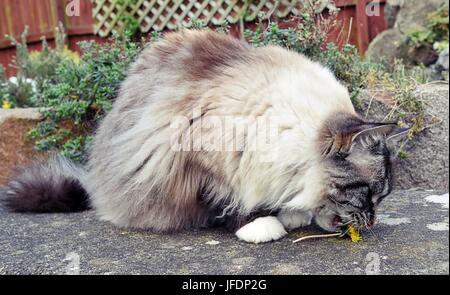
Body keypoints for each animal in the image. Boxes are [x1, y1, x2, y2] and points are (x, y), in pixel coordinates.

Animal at [0, 30, 408, 244]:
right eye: (369, 193)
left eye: (381, 197)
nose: (372, 222)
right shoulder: (200, 150)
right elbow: (228, 197)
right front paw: (259, 224)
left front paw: (290, 213)